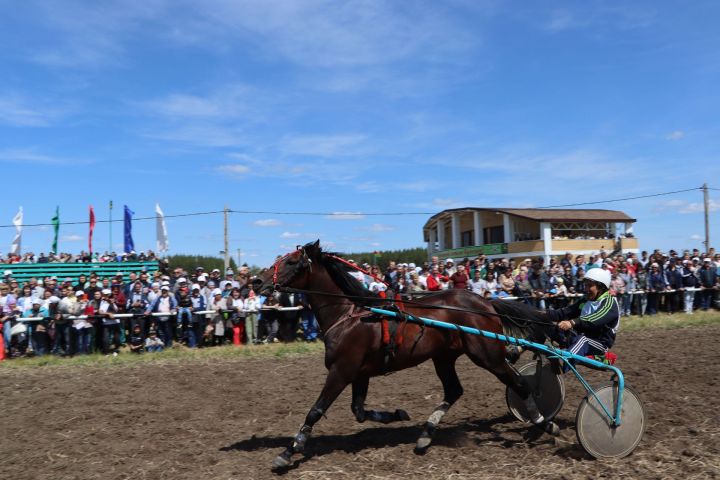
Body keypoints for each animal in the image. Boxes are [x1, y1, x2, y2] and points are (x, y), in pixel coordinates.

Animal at [256, 240, 560, 468]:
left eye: (291, 261)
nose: (258, 282)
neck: (349, 314)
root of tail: (485, 302)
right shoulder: (359, 373)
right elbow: (359, 411)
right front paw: (397, 415)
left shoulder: (341, 371)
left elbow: (315, 411)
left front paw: (289, 451)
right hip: (444, 357)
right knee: (454, 390)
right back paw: (425, 435)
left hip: (488, 356)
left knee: (518, 383)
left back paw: (545, 424)